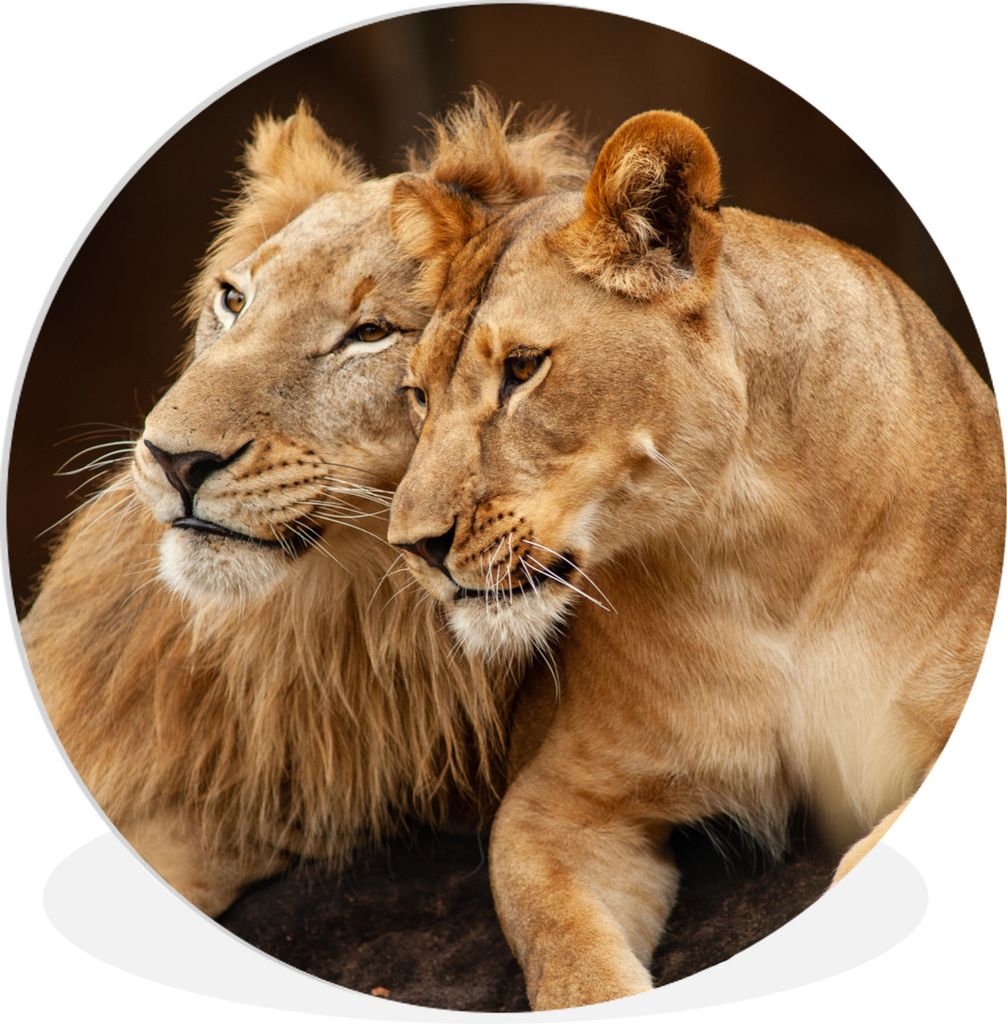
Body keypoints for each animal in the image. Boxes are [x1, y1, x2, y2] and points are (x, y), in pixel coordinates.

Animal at [385, 110, 1005, 1008]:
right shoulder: (560, 802)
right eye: (417, 395)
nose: (412, 546)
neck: (755, 550)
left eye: (523, 369)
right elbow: (568, 954)